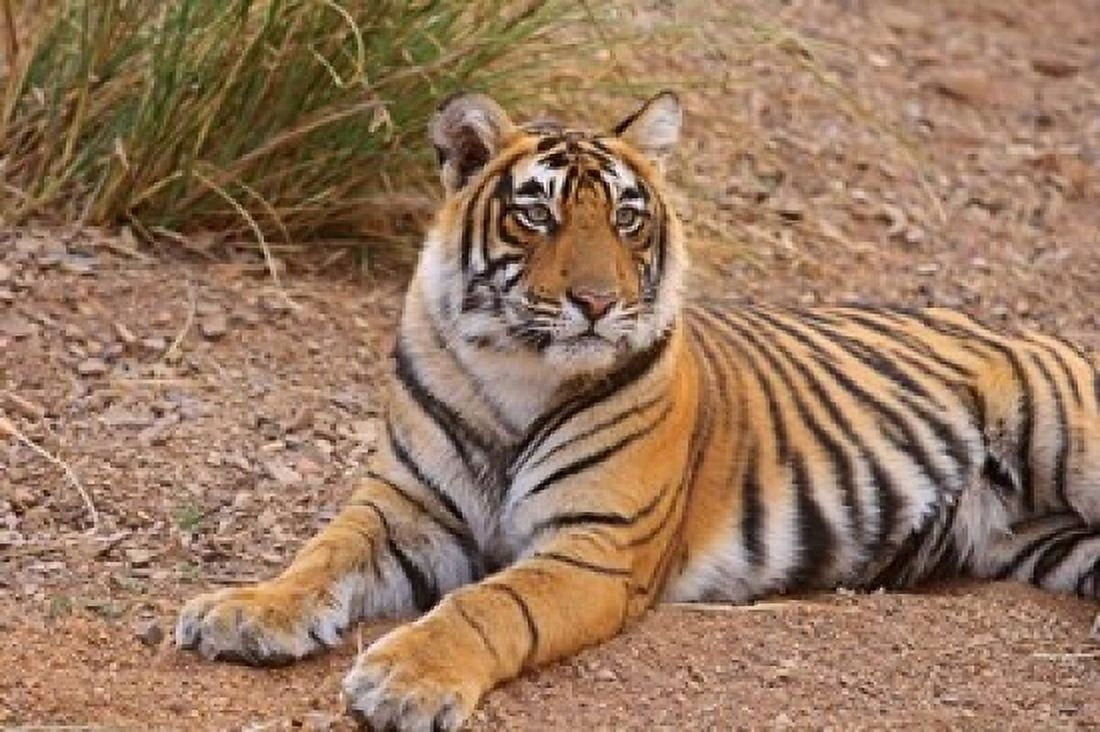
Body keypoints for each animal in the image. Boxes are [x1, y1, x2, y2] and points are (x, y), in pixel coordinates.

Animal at [176, 90, 1100, 731]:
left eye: (626, 217)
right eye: (537, 213)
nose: (596, 302)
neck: (515, 373)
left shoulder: (594, 548)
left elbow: (487, 606)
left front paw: (405, 678)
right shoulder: (403, 508)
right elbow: (320, 555)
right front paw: (245, 610)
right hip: (1057, 548)